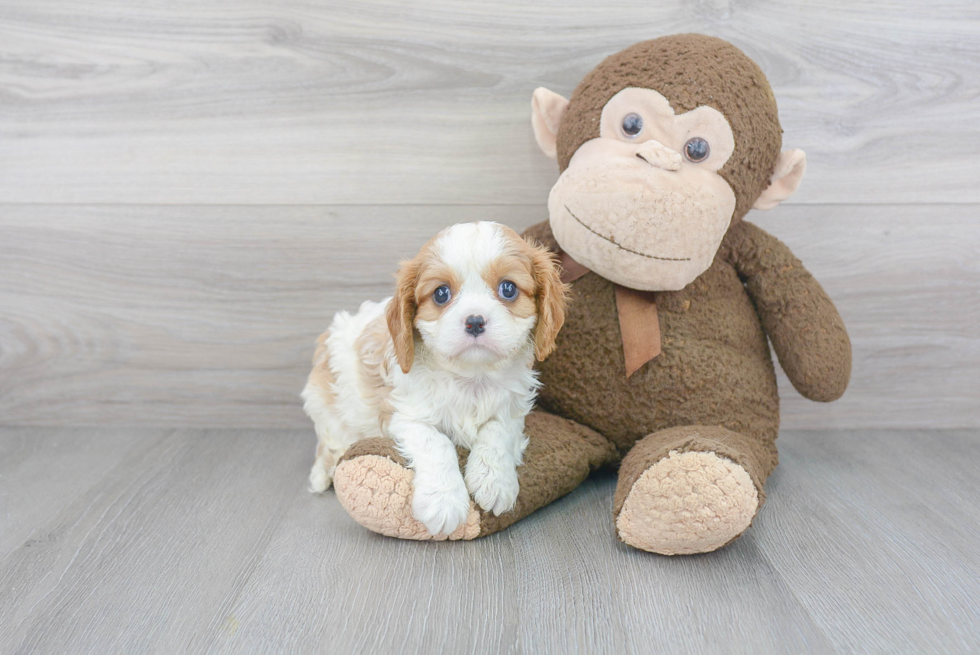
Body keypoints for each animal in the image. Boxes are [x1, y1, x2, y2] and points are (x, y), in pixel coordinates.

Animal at [304, 223, 568, 536]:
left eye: (508, 289)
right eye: (441, 294)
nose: (475, 321)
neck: (472, 376)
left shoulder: (512, 409)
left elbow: (497, 431)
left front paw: (494, 481)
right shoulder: (405, 416)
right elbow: (437, 442)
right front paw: (444, 502)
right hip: (324, 404)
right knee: (328, 442)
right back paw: (322, 474)